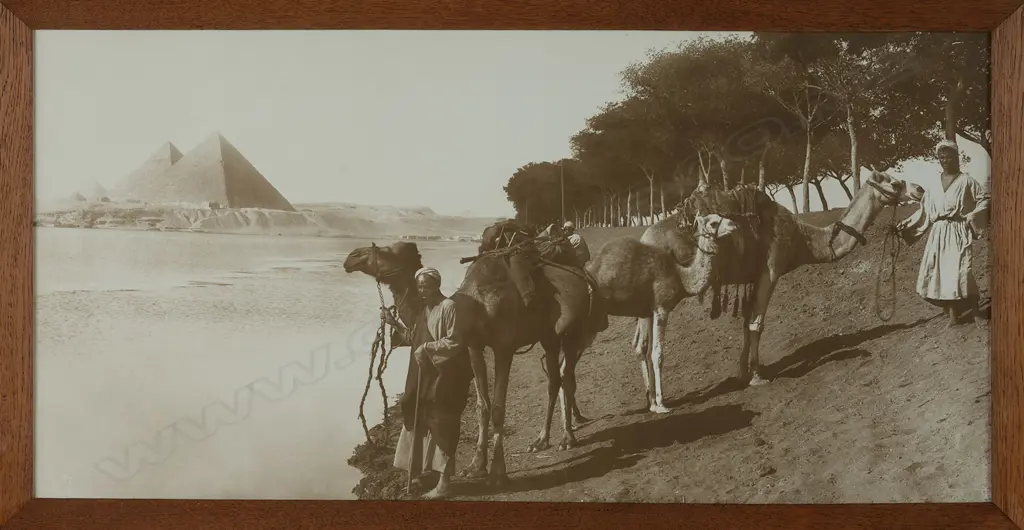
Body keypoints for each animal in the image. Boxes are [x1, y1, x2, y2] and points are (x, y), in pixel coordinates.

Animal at [342, 233, 606, 489]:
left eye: (389, 250)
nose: (351, 257)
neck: (475, 307)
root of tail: (583, 277)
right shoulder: (473, 347)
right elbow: (482, 405)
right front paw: (475, 466)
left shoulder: (504, 348)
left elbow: (498, 408)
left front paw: (498, 473)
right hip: (548, 337)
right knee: (554, 380)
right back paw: (541, 440)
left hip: (570, 333)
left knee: (566, 378)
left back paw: (567, 438)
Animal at [585, 213, 739, 414]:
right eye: (713, 223)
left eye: (722, 216)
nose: (733, 224)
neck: (681, 277)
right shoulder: (662, 308)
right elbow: (657, 353)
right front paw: (661, 403)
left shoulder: (648, 311)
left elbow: (645, 349)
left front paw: (652, 402)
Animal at [640, 170, 925, 388]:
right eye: (894, 183)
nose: (920, 189)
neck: (803, 239)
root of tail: (645, 239)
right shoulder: (771, 271)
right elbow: (756, 324)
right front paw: (757, 377)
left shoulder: (754, 276)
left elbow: (746, 322)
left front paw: (742, 372)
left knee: (641, 342)